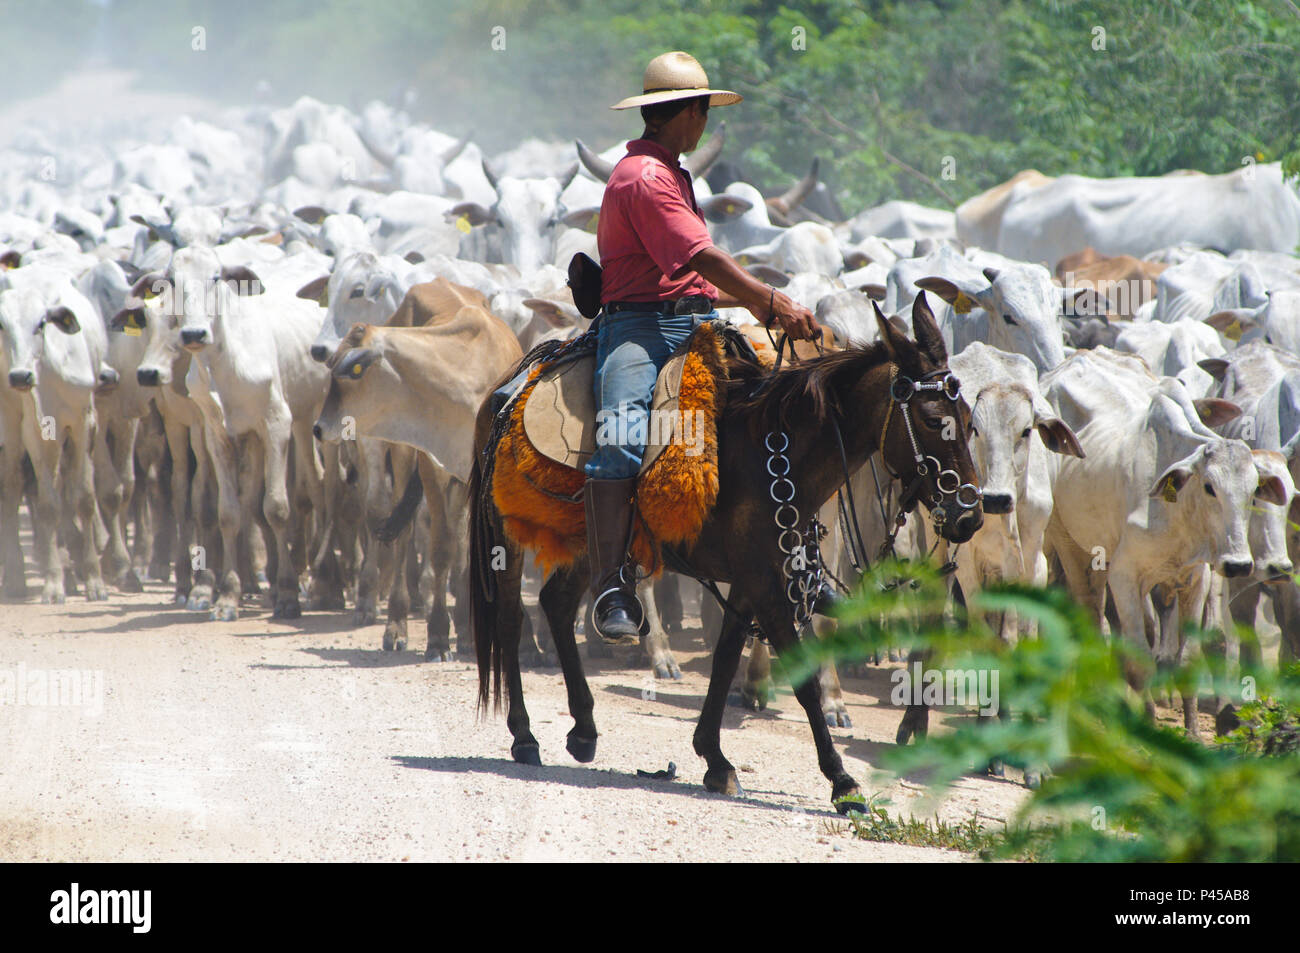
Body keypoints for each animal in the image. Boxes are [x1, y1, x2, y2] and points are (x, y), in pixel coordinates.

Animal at [462, 291, 977, 811]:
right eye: (933, 420)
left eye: (971, 423)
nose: (969, 515)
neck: (771, 451)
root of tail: (508, 387)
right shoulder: (765, 585)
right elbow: (804, 683)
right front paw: (842, 780)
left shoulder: (752, 579)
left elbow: (726, 659)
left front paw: (715, 758)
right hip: (507, 532)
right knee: (510, 618)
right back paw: (524, 734)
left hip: (588, 546)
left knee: (558, 602)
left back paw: (584, 728)